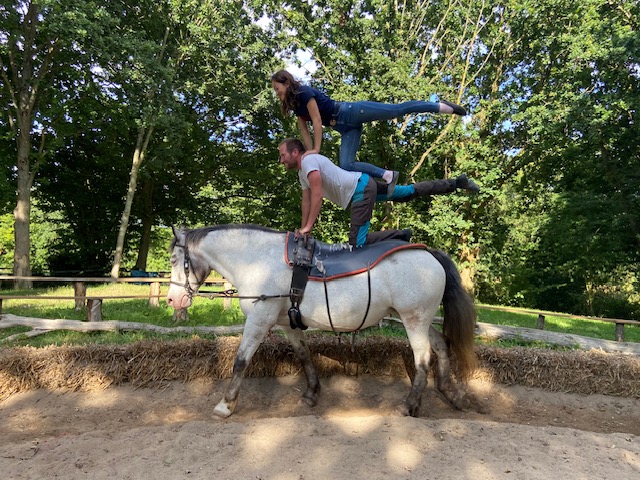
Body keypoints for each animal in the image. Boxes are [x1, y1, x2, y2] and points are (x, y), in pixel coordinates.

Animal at [168, 224, 478, 416]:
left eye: (173, 260)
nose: (172, 300)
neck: (258, 261)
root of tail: (429, 253)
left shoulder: (259, 319)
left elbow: (241, 361)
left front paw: (226, 404)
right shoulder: (287, 323)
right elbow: (304, 355)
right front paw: (311, 394)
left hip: (413, 320)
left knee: (423, 358)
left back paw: (409, 405)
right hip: (421, 320)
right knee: (442, 346)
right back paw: (449, 393)